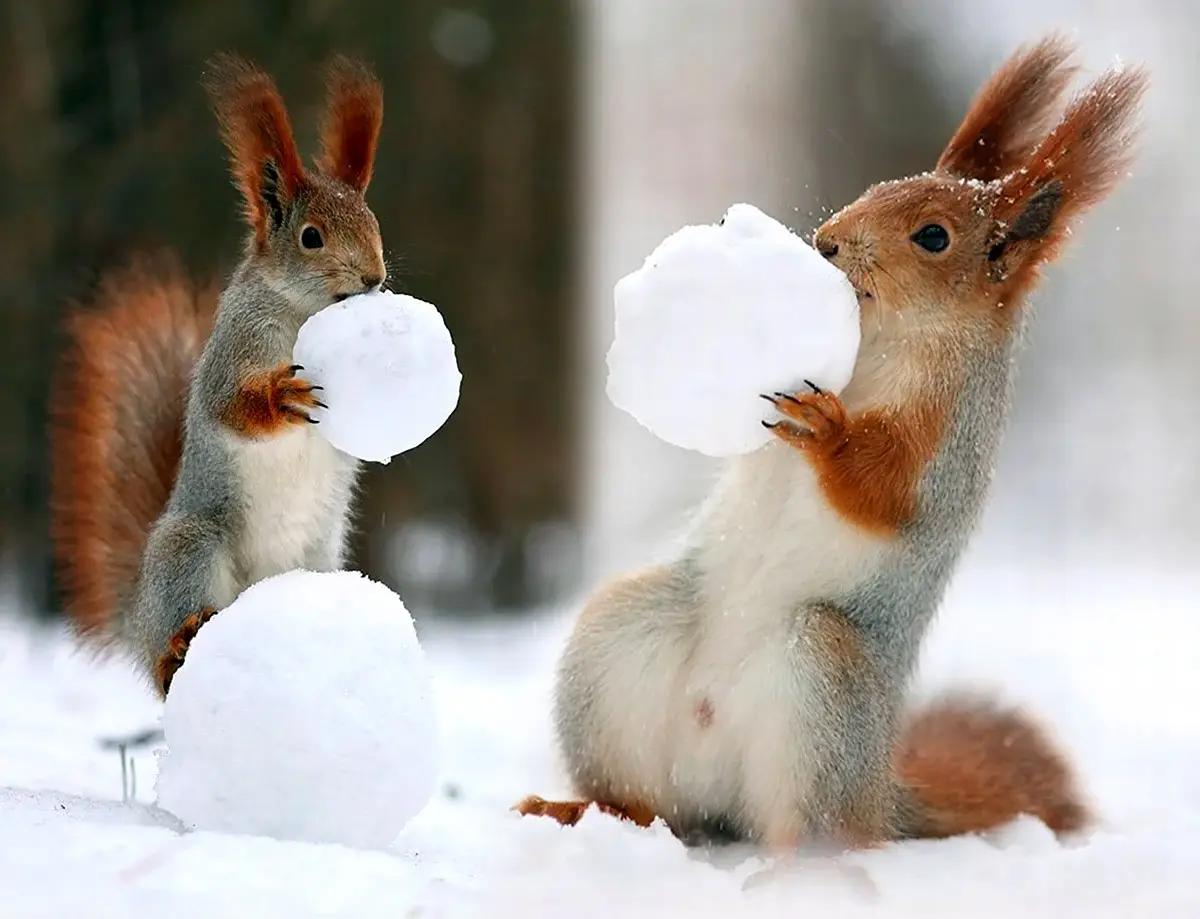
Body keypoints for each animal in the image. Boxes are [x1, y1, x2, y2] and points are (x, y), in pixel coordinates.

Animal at [49, 53, 387, 697]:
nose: (376, 279)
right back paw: (175, 648)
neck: (301, 312)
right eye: (311, 237)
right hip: (191, 550)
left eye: (374, 222)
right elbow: (229, 405)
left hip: (319, 555)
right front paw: (283, 396)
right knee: (169, 657)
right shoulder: (235, 347)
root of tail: (139, 616)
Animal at [516, 36, 1146, 850]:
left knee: (816, 828)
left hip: (821, 682)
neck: (884, 343)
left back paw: (800, 862)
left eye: (934, 236)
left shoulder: (946, 443)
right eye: (878, 187)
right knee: (653, 805)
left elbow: (886, 489)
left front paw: (829, 429)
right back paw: (582, 811)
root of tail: (880, 791)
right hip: (620, 642)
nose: (825, 242)